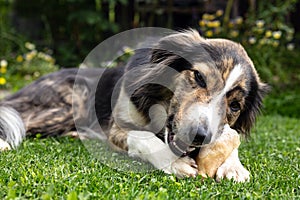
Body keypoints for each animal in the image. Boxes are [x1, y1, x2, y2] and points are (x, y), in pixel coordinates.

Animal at [0, 29, 268, 181]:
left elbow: (232, 138)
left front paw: (234, 167)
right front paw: (174, 163)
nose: (199, 136)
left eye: (235, 106)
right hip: (67, 105)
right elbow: (143, 138)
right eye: (200, 77)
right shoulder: (117, 127)